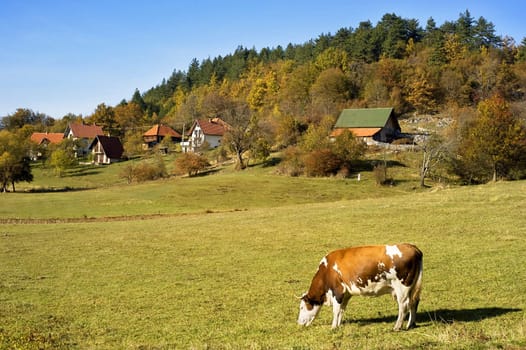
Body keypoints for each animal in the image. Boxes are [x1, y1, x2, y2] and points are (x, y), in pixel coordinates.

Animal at [296, 245, 424, 330]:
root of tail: (413, 248)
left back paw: (397, 327)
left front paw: (333, 327)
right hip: (412, 287)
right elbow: (342, 310)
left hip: (402, 287)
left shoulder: (338, 291)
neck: (327, 270)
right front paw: (338, 325)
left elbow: (336, 310)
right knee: (414, 302)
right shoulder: (346, 294)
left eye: (302, 307)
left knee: (404, 305)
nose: (299, 322)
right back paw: (411, 324)